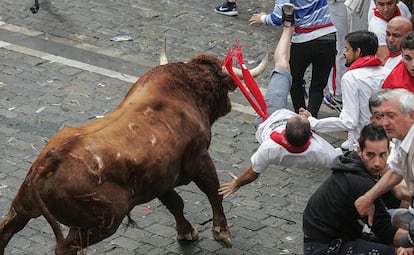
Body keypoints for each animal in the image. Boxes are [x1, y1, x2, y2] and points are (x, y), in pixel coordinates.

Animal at [0, 52, 239, 254]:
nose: (229, 105)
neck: (184, 90)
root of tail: (54, 158)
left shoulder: (160, 177)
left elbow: (175, 203)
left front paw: (186, 232)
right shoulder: (199, 158)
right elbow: (213, 191)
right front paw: (222, 233)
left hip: (23, 207)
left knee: (7, 229)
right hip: (104, 222)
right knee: (66, 248)